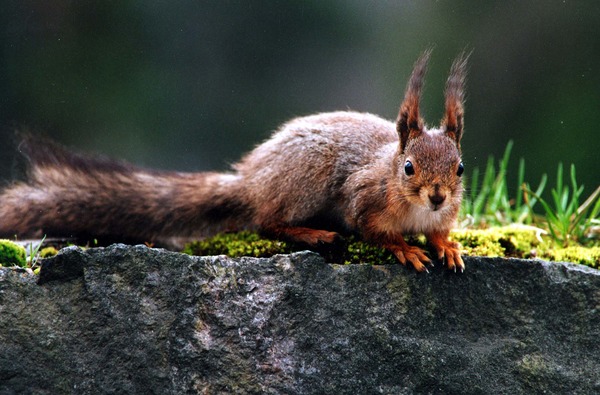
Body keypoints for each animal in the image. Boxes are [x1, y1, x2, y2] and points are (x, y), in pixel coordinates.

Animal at [0, 49, 468, 272]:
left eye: (460, 168)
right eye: (408, 167)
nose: (438, 197)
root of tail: (252, 180)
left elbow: (439, 233)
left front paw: (447, 246)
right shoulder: (363, 197)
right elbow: (373, 231)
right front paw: (405, 248)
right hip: (305, 181)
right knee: (266, 220)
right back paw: (312, 233)